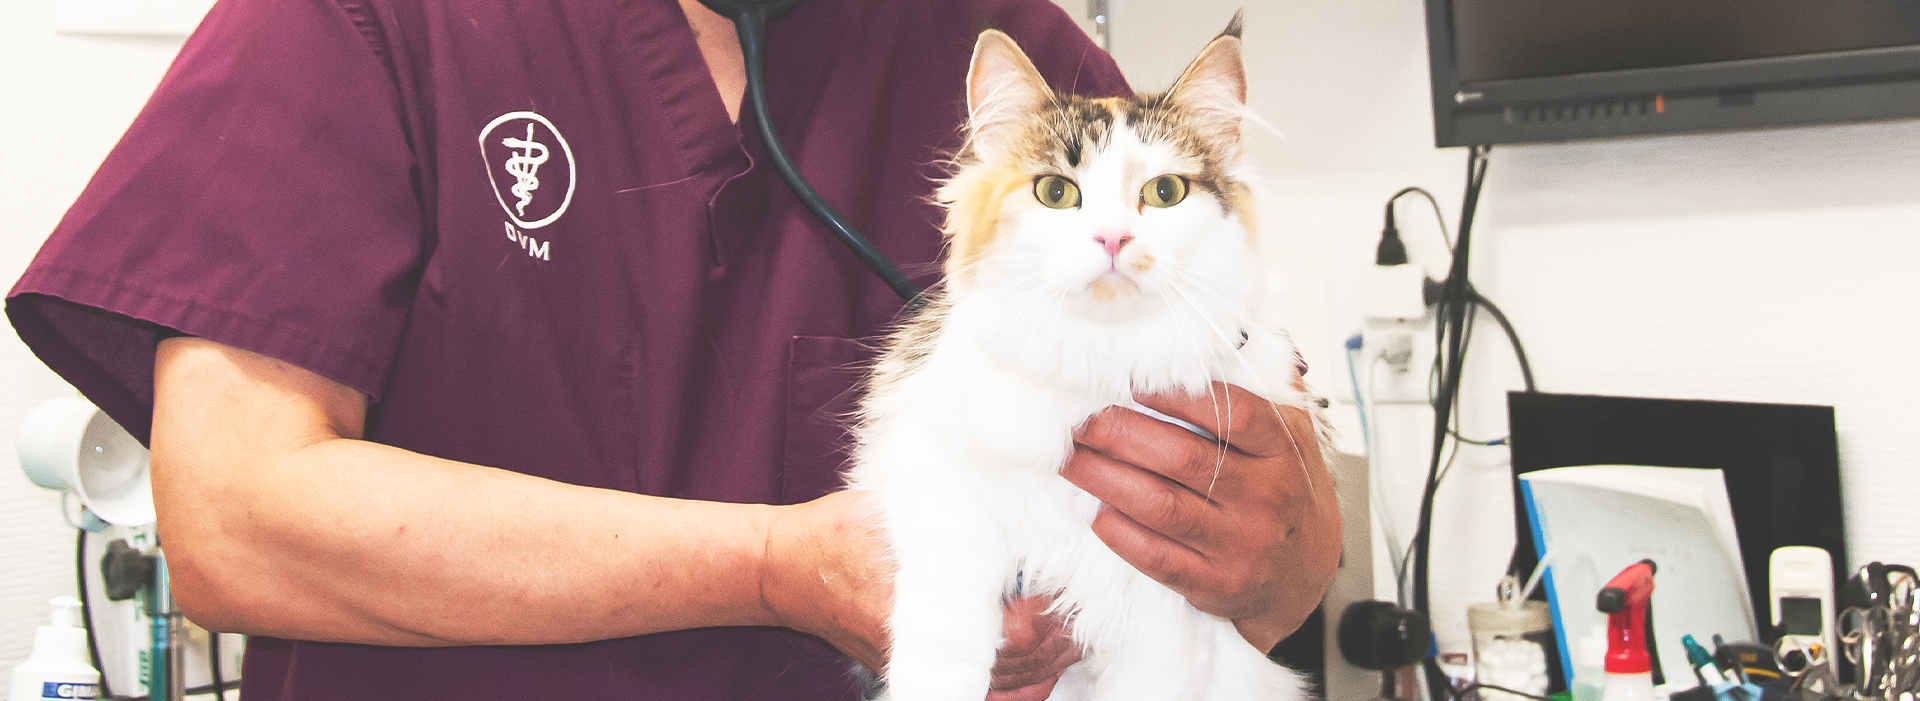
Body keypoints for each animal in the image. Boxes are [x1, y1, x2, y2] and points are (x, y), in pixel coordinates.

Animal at [856, 21, 1320, 699]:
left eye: (1164, 192)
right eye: (1056, 193)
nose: (1112, 238)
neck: (1101, 360)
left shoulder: (1164, 608)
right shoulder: (929, 460)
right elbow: (945, 613)